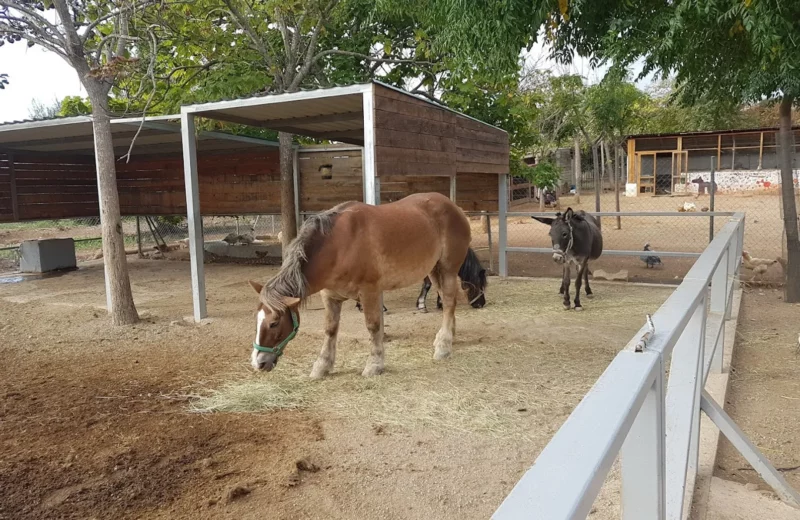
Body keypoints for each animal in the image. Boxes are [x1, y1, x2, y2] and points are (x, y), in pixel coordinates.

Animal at [250, 193, 472, 380]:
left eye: (274, 323)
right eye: (257, 320)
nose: (258, 363)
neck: (339, 246)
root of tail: (454, 207)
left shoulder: (370, 292)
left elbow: (373, 326)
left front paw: (374, 365)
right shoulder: (329, 296)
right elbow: (330, 329)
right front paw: (322, 366)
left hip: (448, 269)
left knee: (449, 302)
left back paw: (443, 347)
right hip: (433, 271)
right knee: (446, 301)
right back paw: (447, 337)